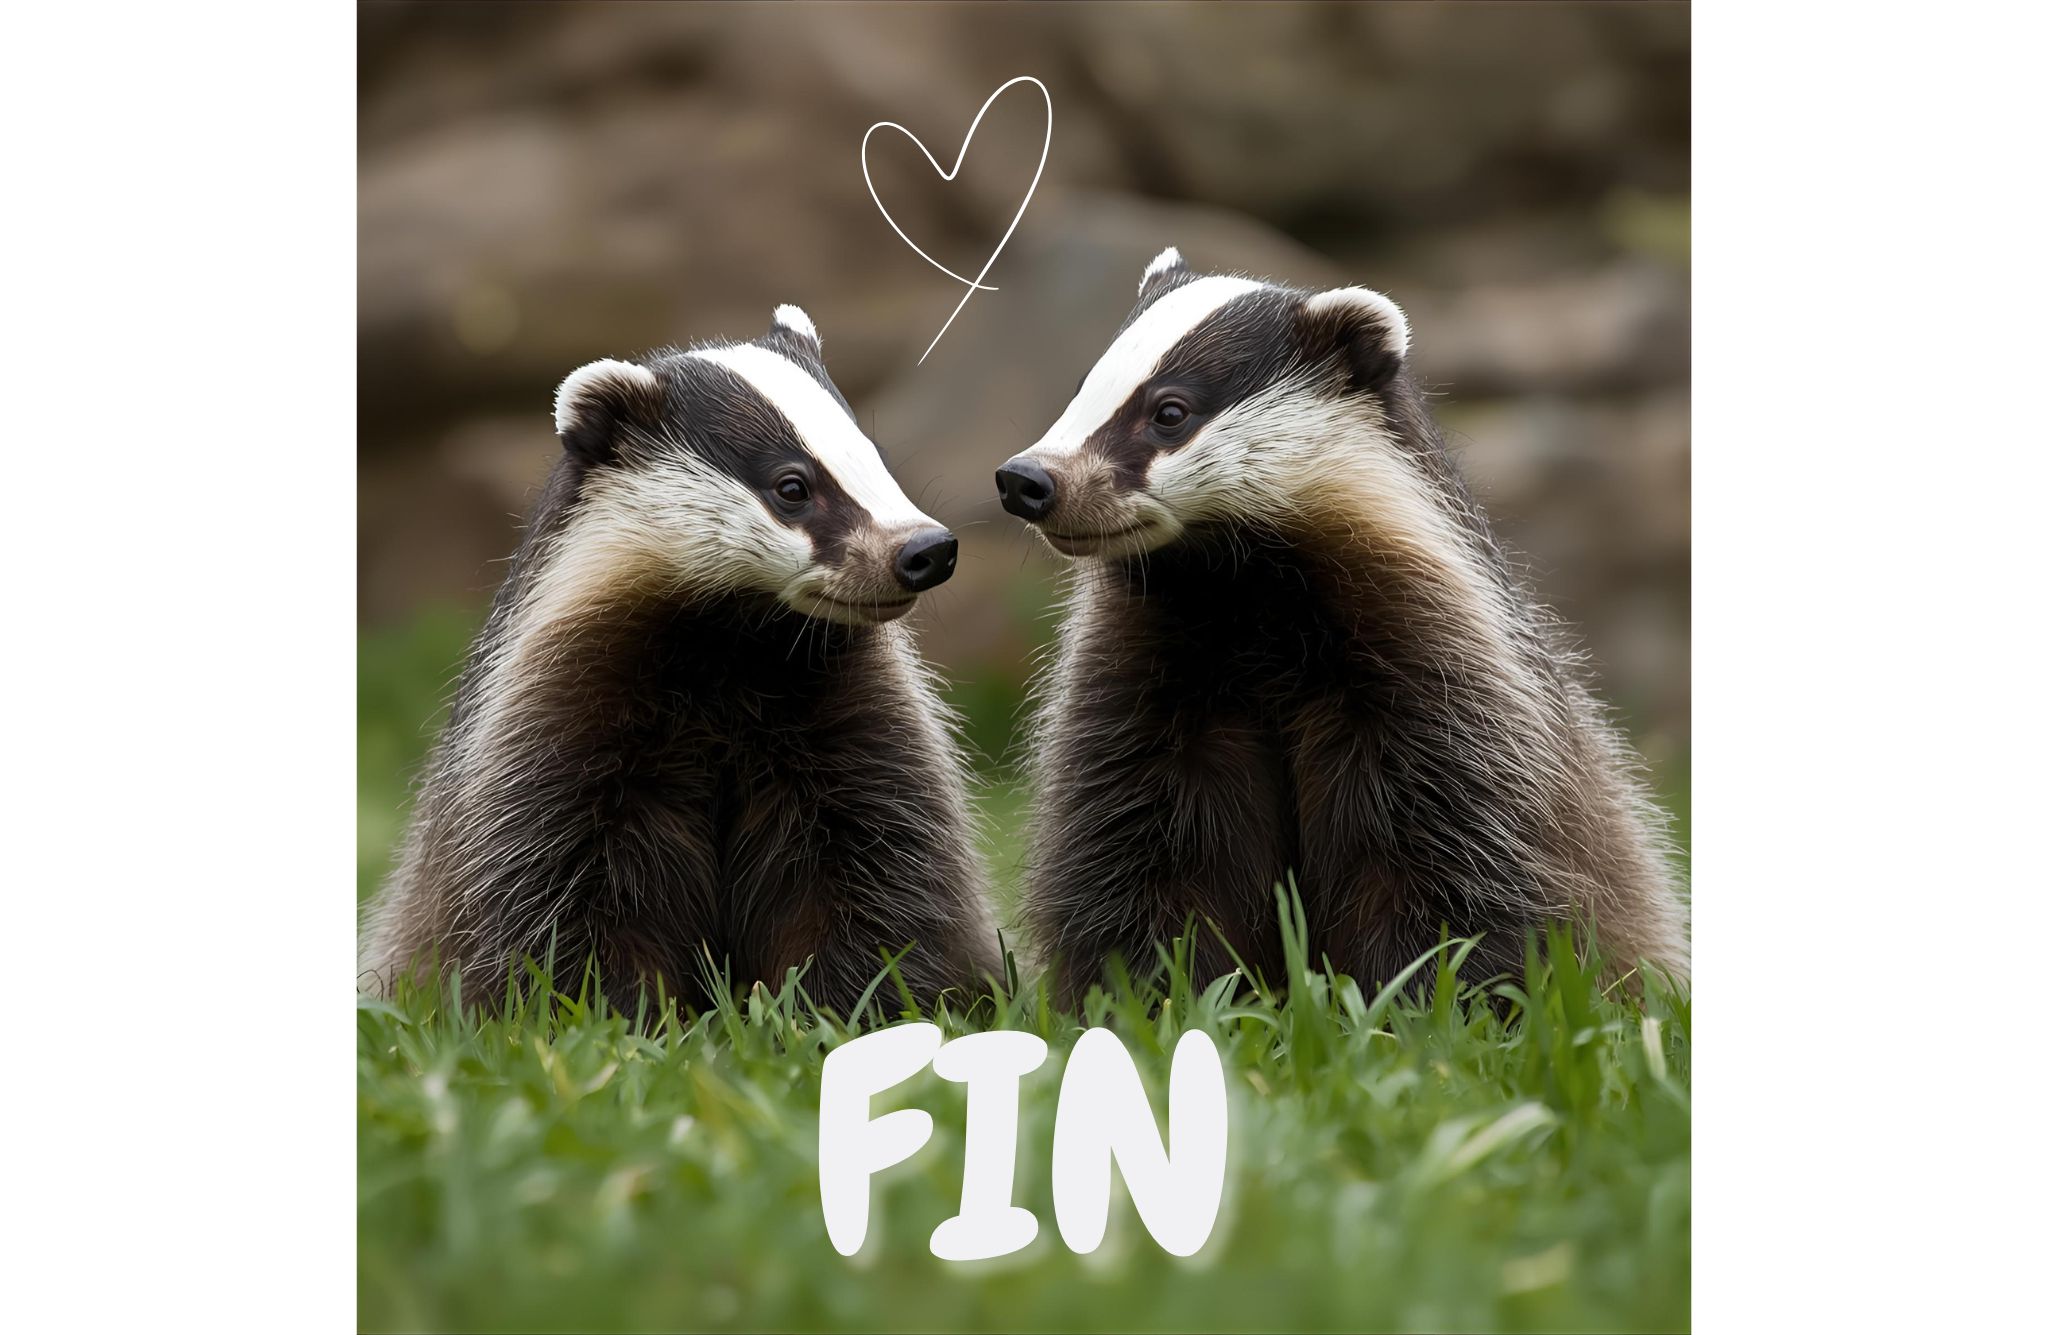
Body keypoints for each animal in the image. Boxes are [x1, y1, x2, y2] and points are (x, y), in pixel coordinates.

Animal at [362, 306, 1001, 1015]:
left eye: (874, 458)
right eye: (792, 486)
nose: (925, 549)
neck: (730, 652)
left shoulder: (850, 713)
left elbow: (875, 859)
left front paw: (837, 1004)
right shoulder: (560, 713)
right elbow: (565, 892)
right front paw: (621, 1014)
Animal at [994, 249, 1688, 1003]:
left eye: (1169, 412)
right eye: (1084, 389)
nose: (1027, 479)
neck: (1246, 600)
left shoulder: (1434, 672)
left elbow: (1435, 857)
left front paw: (1413, 999)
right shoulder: (1147, 672)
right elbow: (1145, 844)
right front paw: (1158, 992)